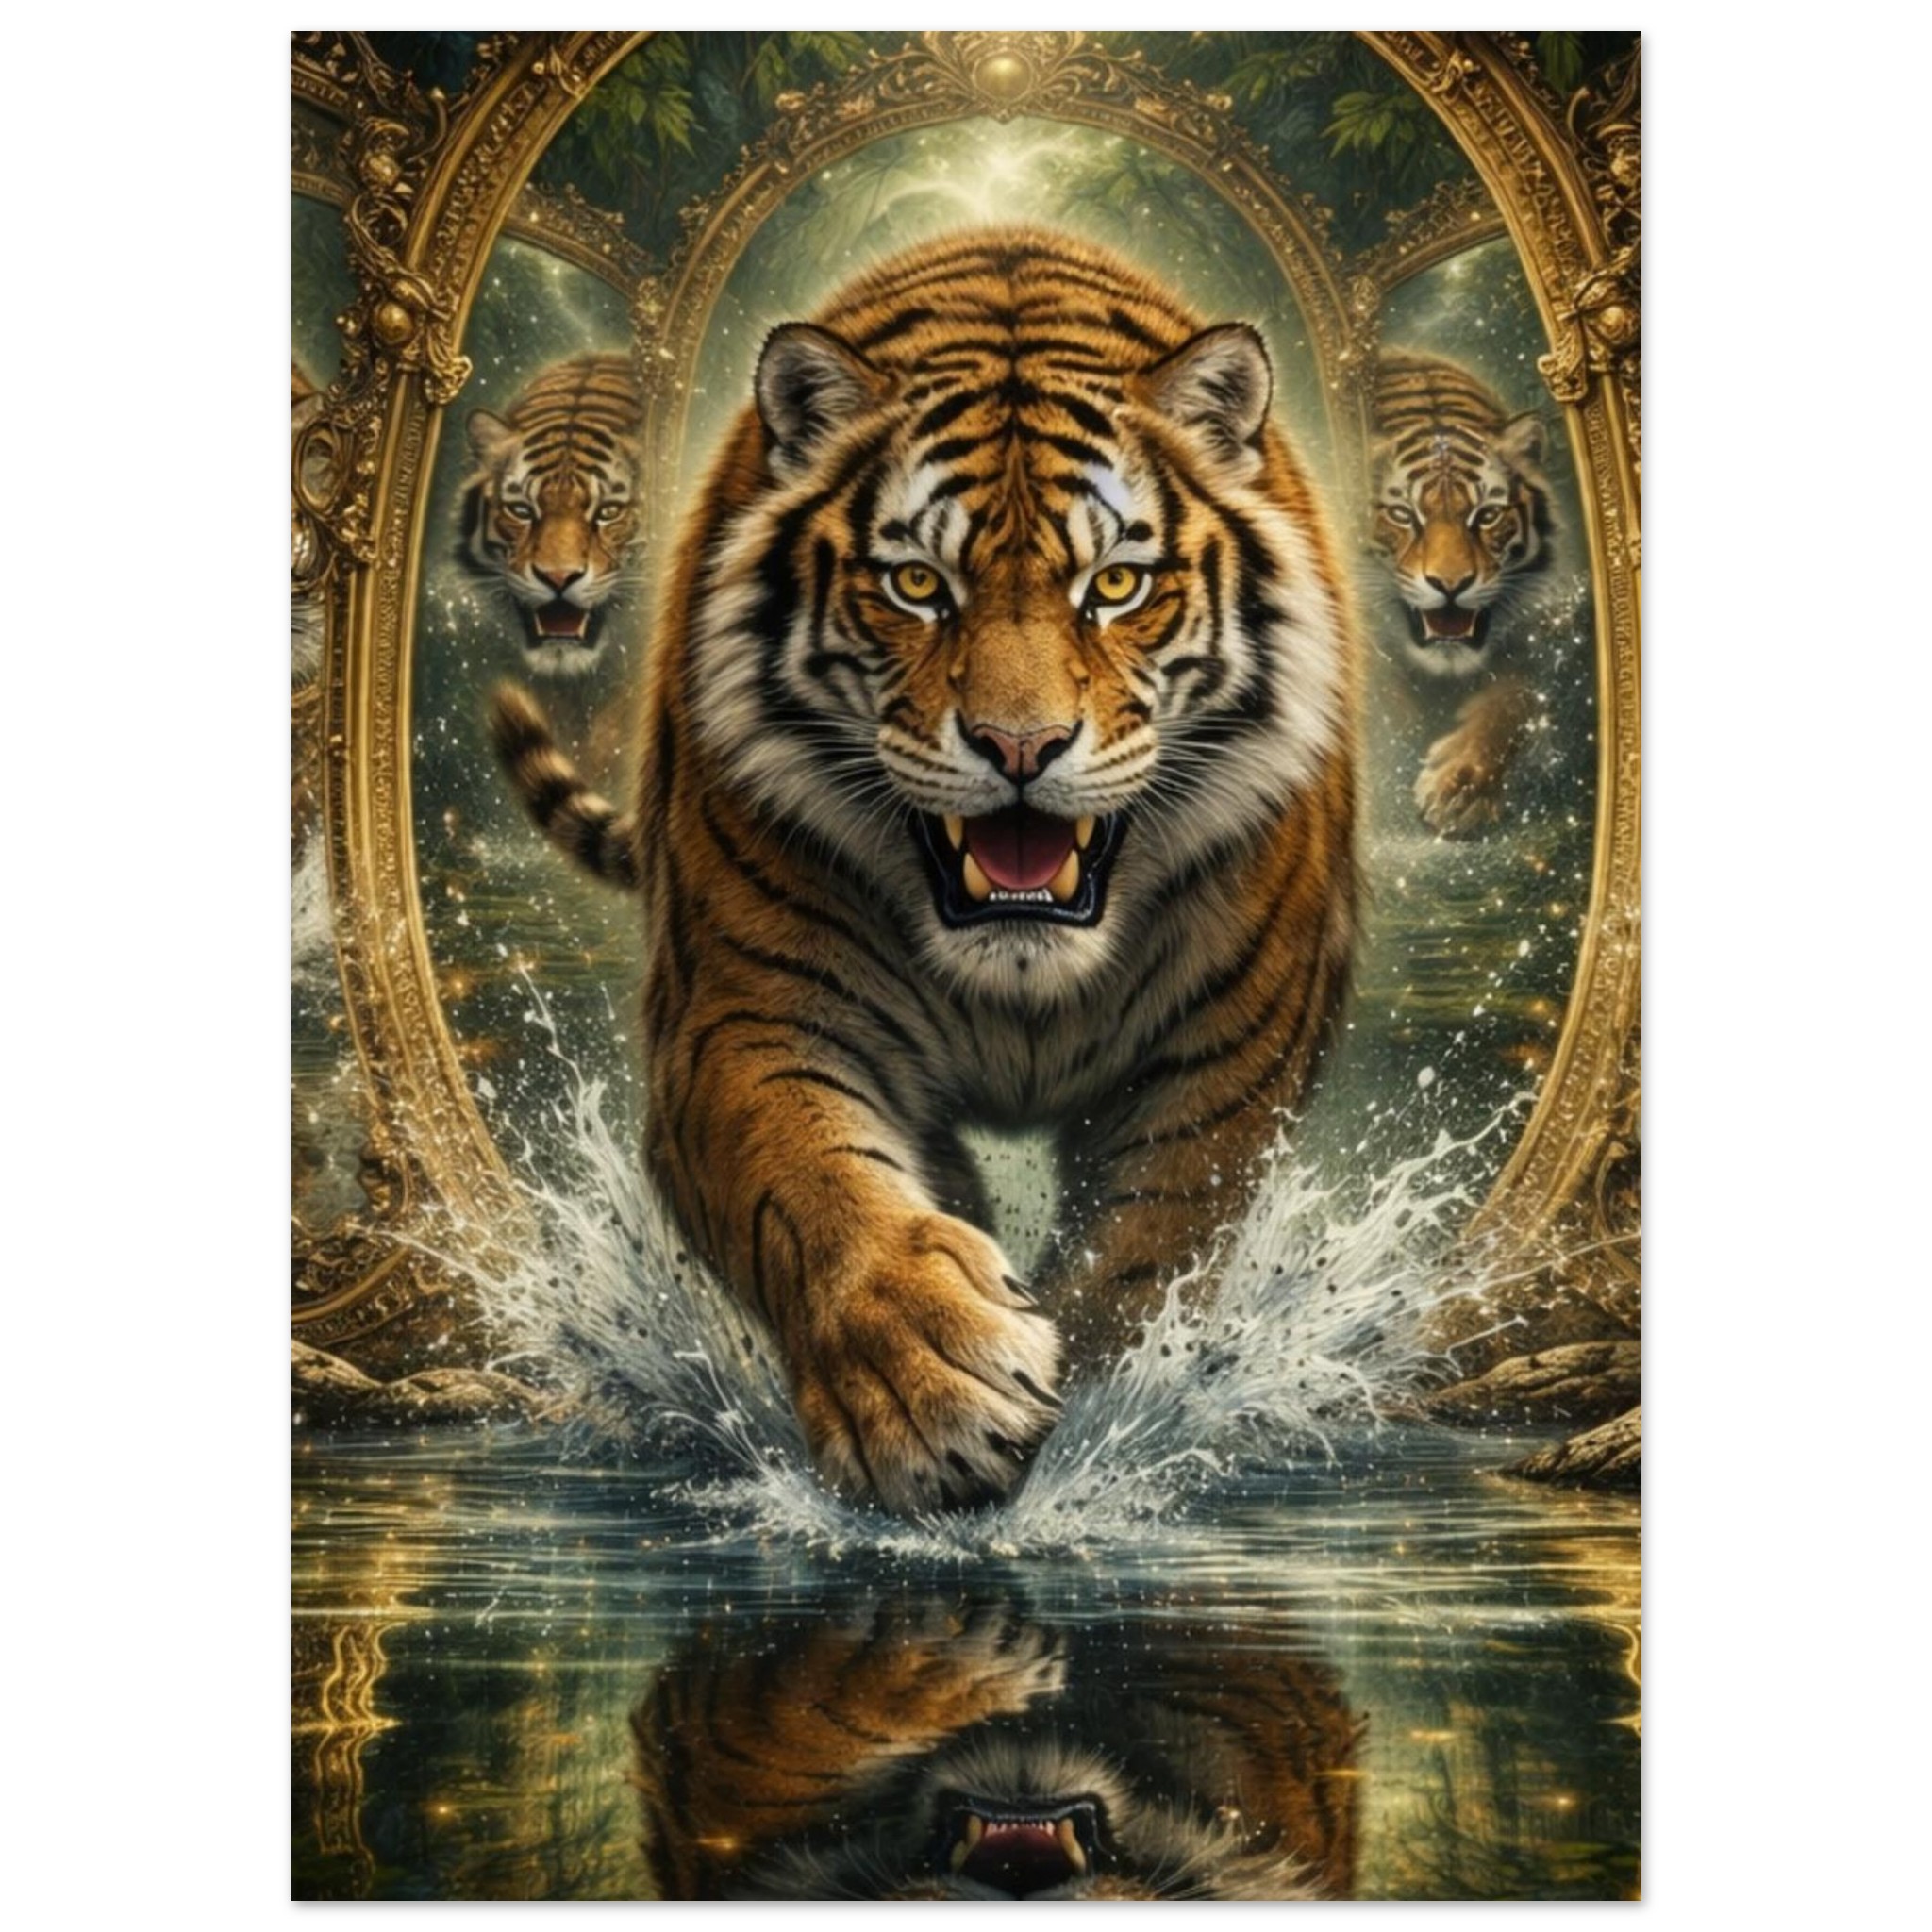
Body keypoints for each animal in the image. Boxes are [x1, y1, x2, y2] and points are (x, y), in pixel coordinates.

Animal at [492, 228, 1358, 1513]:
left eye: (1113, 587)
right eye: (916, 586)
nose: (1018, 746)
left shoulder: (1226, 1060)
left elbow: (1146, 1247)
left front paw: (1097, 1419)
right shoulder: (739, 1019)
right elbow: (812, 1181)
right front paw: (928, 1384)